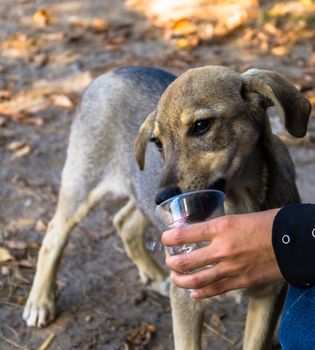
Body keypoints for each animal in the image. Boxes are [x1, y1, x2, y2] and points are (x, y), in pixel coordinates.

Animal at [22, 64, 312, 348]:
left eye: (201, 125)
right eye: (157, 143)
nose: (161, 198)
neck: (239, 204)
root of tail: (113, 72)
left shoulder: (269, 295)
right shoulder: (187, 299)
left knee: (123, 222)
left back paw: (155, 275)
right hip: (83, 184)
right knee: (53, 236)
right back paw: (40, 302)